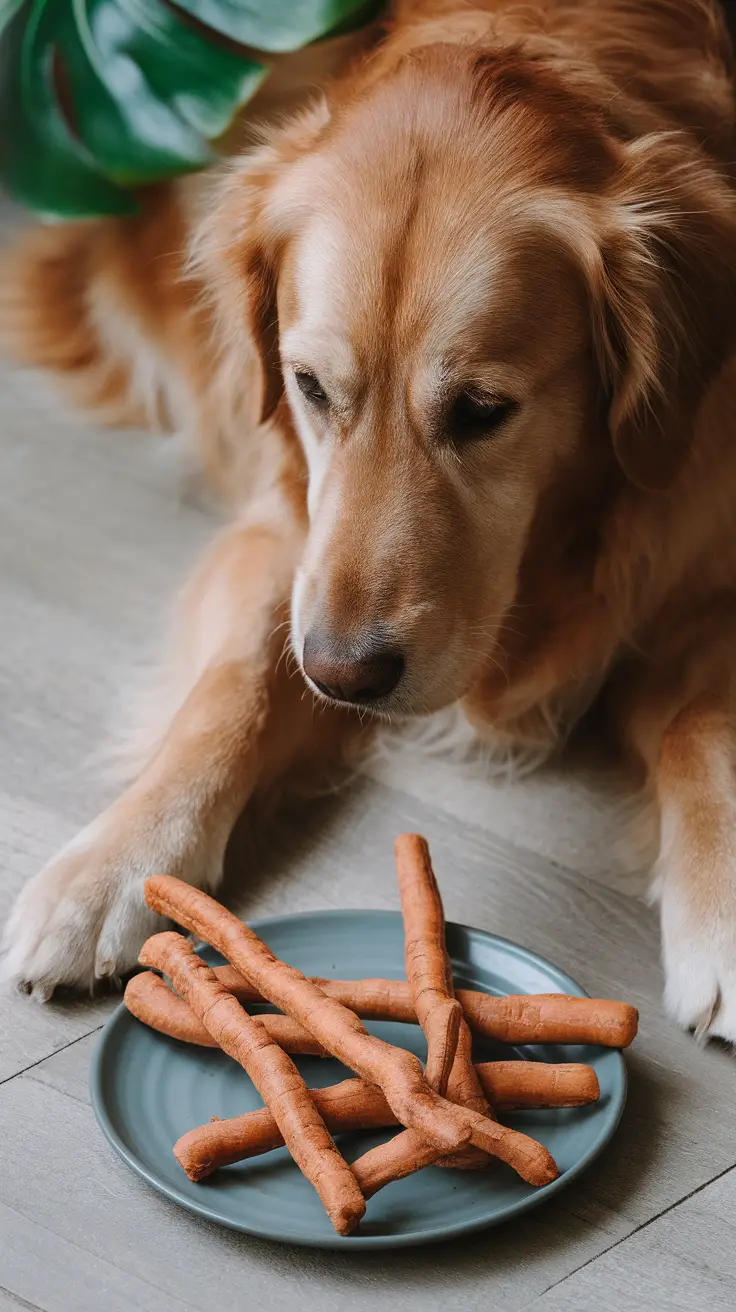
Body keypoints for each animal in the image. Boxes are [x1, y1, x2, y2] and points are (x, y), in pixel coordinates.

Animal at [4, 2, 734, 1044]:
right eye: (309, 386)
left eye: (482, 410)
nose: (344, 675)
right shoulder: (286, 525)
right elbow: (233, 682)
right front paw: (111, 867)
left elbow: (702, 722)